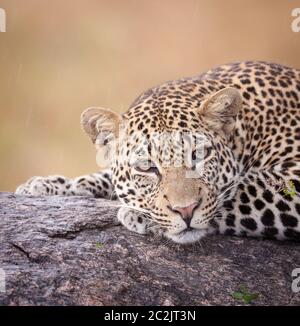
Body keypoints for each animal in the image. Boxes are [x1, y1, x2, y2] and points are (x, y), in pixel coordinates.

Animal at [15, 61, 300, 244]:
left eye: (198, 155)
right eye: (146, 167)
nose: (186, 211)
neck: (247, 128)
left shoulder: (293, 178)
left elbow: (240, 190)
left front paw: (138, 215)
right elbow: (104, 177)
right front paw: (48, 186)